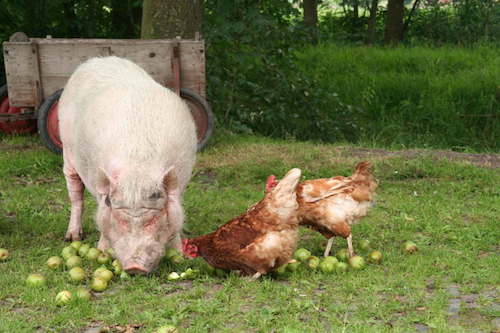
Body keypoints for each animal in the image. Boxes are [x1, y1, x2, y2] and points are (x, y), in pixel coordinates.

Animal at [58, 55, 197, 272]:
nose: (134, 267)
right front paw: (102, 251)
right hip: (67, 152)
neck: (137, 168)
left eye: (153, 219)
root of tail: (97, 60)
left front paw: (180, 255)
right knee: (75, 195)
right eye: (120, 219)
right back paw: (72, 237)